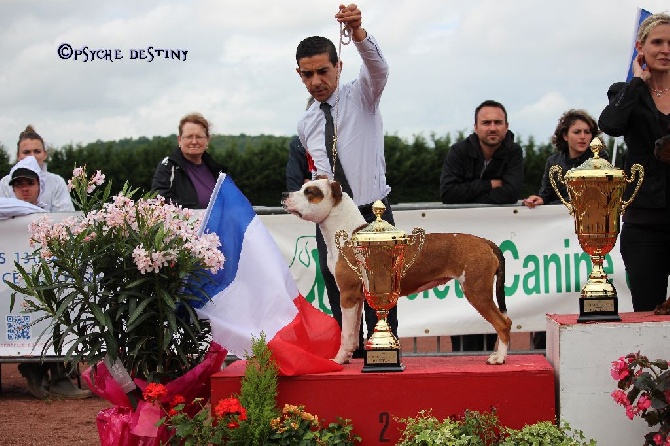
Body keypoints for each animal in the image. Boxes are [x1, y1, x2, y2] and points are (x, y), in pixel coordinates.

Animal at [280, 179, 512, 366]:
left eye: (310, 191)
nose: (284, 194)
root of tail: (484, 242)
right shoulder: (357, 297)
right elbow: (353, 332)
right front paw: (346, 358)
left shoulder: (347, 295)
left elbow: (345, 333)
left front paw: (337, 360)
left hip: (477, 291)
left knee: (503, 323)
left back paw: (499, 358)